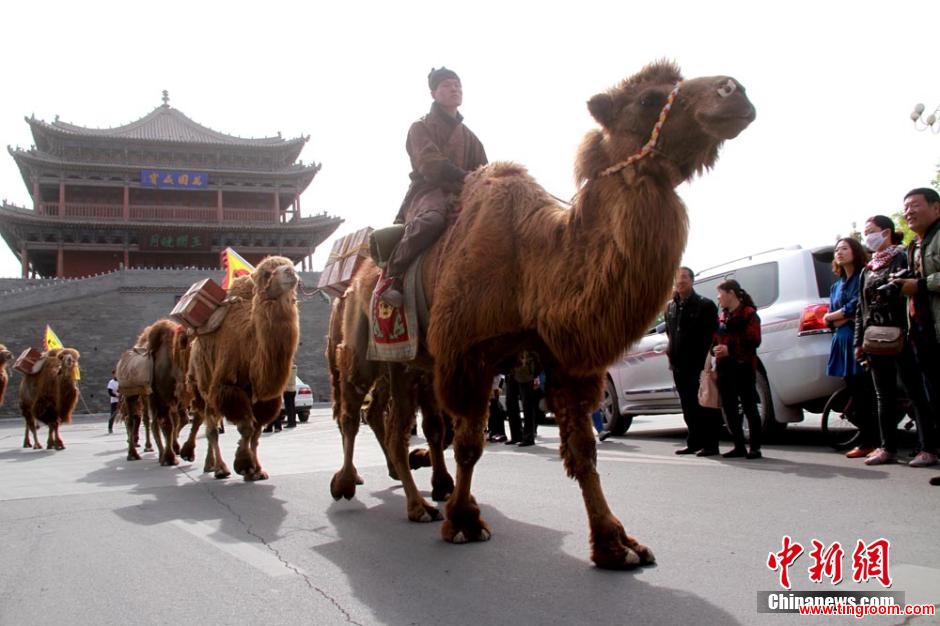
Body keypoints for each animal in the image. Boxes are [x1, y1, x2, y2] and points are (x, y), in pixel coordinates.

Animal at [194, 254, 302, 478]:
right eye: (266, 274)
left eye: (289, 265)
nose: (291, 272)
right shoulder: (227, 386)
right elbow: (246, 427)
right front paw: (243, 465)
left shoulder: (264, 396)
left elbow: (256, 432)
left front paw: (257, 470)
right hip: (205, 383)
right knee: (211, 428)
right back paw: (220, 468)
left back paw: (210, 464)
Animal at [328, 272, 454, 516]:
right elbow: (434, 427)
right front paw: (437, 478)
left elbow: (438, 428)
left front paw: (439, 481)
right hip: (349, 363)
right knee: (348, 414)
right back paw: (347, 480)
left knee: (372, 413)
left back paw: (392, 469)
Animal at [352, 62, 756, 564]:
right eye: (648, 99)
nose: (734, 91)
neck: (532, 264)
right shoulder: (468, 354)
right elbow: (470, 445)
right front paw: (464, 521)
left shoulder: (566, 357)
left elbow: (583, 450)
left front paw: (615, 543)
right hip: (386, 352)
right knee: (386, 421)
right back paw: (407, 502)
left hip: (417, 364)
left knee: (409, 424)